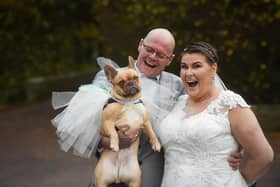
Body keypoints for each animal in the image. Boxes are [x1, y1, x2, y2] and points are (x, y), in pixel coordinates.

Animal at [94, 56, 161, 187]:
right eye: (121, 82)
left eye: (135, 78)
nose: (131, 83)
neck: (129, 101)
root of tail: (118, 176)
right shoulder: (106, 123)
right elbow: (113, 133)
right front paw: (114, 145)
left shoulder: (145, 121)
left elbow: (152, 133)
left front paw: (156, 144)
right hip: (100, 181)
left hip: (134, 181)